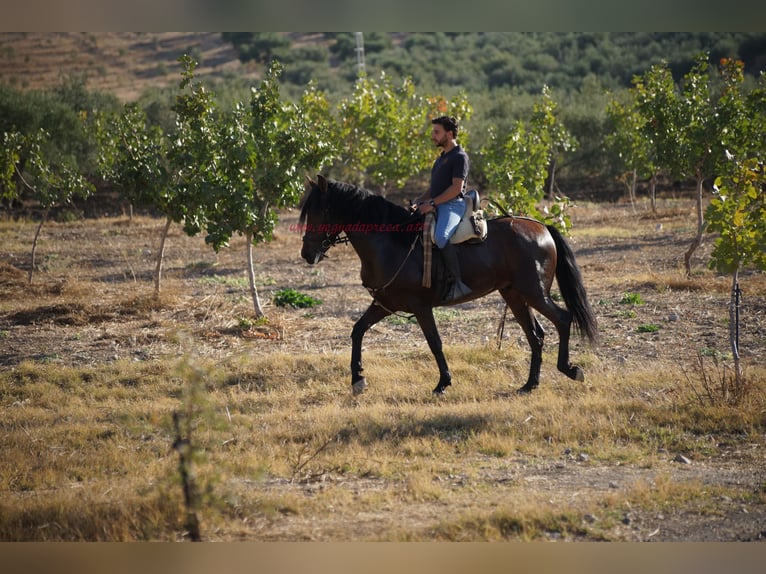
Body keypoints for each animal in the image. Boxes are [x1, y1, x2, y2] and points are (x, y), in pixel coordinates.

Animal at [299, 175, 598, 396]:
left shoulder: (420, 306)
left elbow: (435, 342)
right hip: (513, 294)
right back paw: (530, 384)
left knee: (563, 318)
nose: (307, 254)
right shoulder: (385, 304)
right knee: (536, 335)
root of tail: (542, 227)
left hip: (534, 292)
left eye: (320, 211)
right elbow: (358, 330)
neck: (392, 243)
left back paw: (570, 369)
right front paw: (357, 379)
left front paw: (443, 383)